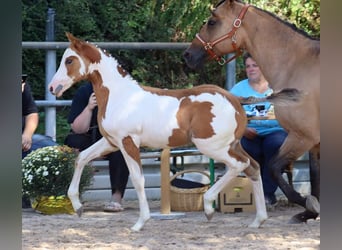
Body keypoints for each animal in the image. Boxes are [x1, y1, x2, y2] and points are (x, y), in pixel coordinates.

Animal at [48, 32, 302, 231]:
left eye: (69, 60)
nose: (53, 87)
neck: (120, 96)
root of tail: (235, 99)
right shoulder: (111, 142)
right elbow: (81, 158)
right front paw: (78, 207)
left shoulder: (128, 143)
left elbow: (138, 179)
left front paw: (140, 223)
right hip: (232, 144)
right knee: (254, 167)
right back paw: (258, 220)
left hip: (211, 146)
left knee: (239, 166)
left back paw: (209, 206)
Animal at [183, 0, 320, 223]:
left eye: (212, 22)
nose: (187, 55)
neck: (298, 65)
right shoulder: (312, 143)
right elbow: (314, 178)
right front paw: (309, 212)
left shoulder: (302, 136)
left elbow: (273, 168)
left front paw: (307, 204)